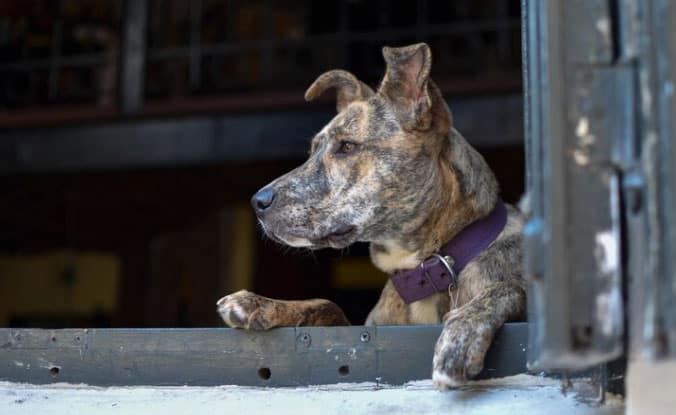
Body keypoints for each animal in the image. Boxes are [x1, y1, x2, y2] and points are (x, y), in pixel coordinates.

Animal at [214, 43, 524, 390]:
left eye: (347, 146)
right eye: (312, 151)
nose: (258, 202)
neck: (425, 269)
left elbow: (507, 289)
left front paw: (460, 337)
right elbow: (328, 304)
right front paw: (258, 303)